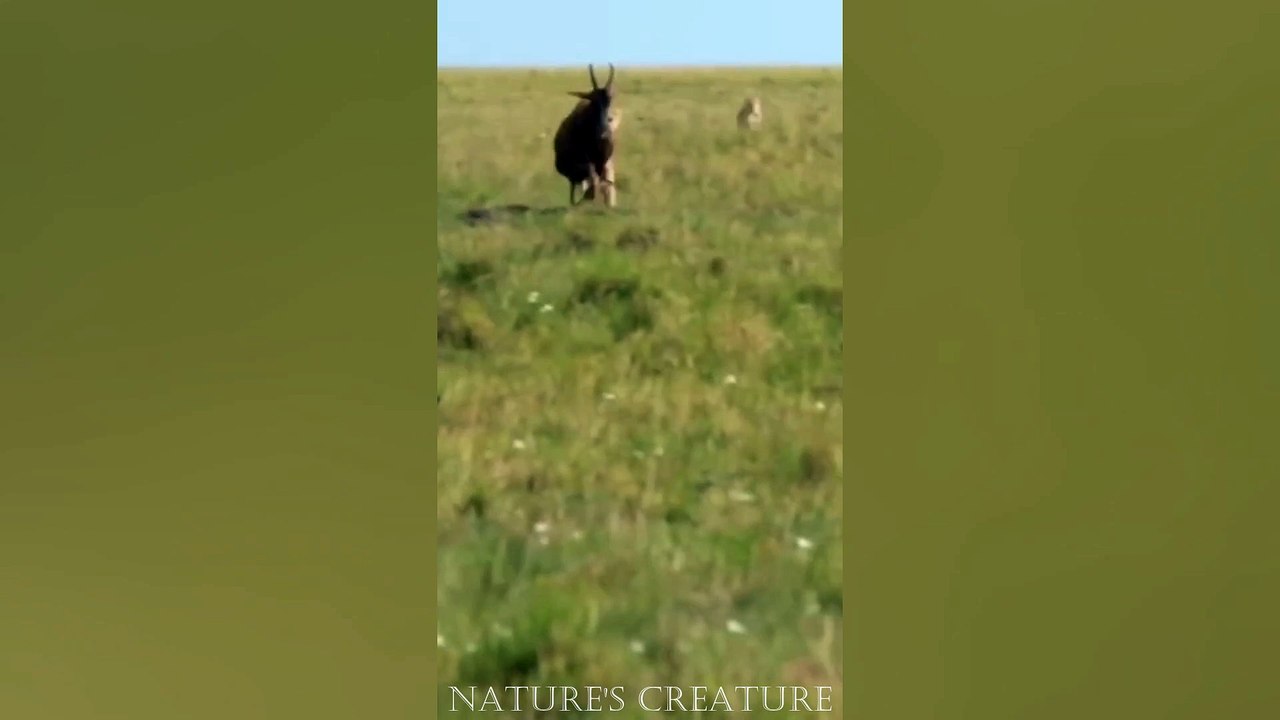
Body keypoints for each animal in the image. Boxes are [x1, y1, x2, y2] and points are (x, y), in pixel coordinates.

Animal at [553, 64, 618, 208]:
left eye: (609, 100)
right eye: (592, 100)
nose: (604, 135)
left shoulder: (601, 164)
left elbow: (599, 180)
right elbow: (591, 175)